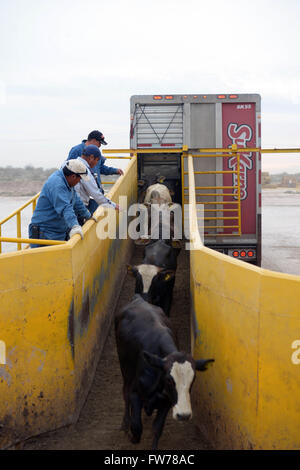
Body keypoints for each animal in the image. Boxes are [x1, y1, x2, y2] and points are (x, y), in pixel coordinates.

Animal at [114, 296, 213, 450]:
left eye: (193, 379)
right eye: (169, 380)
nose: (184, 415)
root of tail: (138, 299)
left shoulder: (166, 401)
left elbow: (157, 429)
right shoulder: (135, 393)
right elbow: (136, 427)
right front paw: (131, 435)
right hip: (125, 371)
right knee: (125, 393)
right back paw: (125, 423)